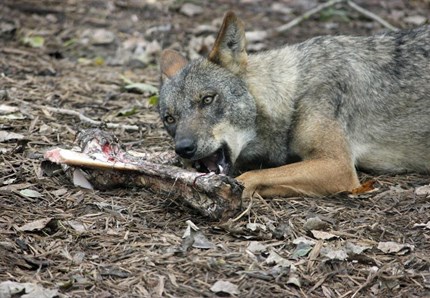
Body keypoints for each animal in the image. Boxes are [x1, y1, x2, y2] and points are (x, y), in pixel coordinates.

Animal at [158, 11, 430, 198]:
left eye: (207, 99)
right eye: (169, 119)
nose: (183, 148)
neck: (294, 94)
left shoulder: (338, 166)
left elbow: (252, 176)